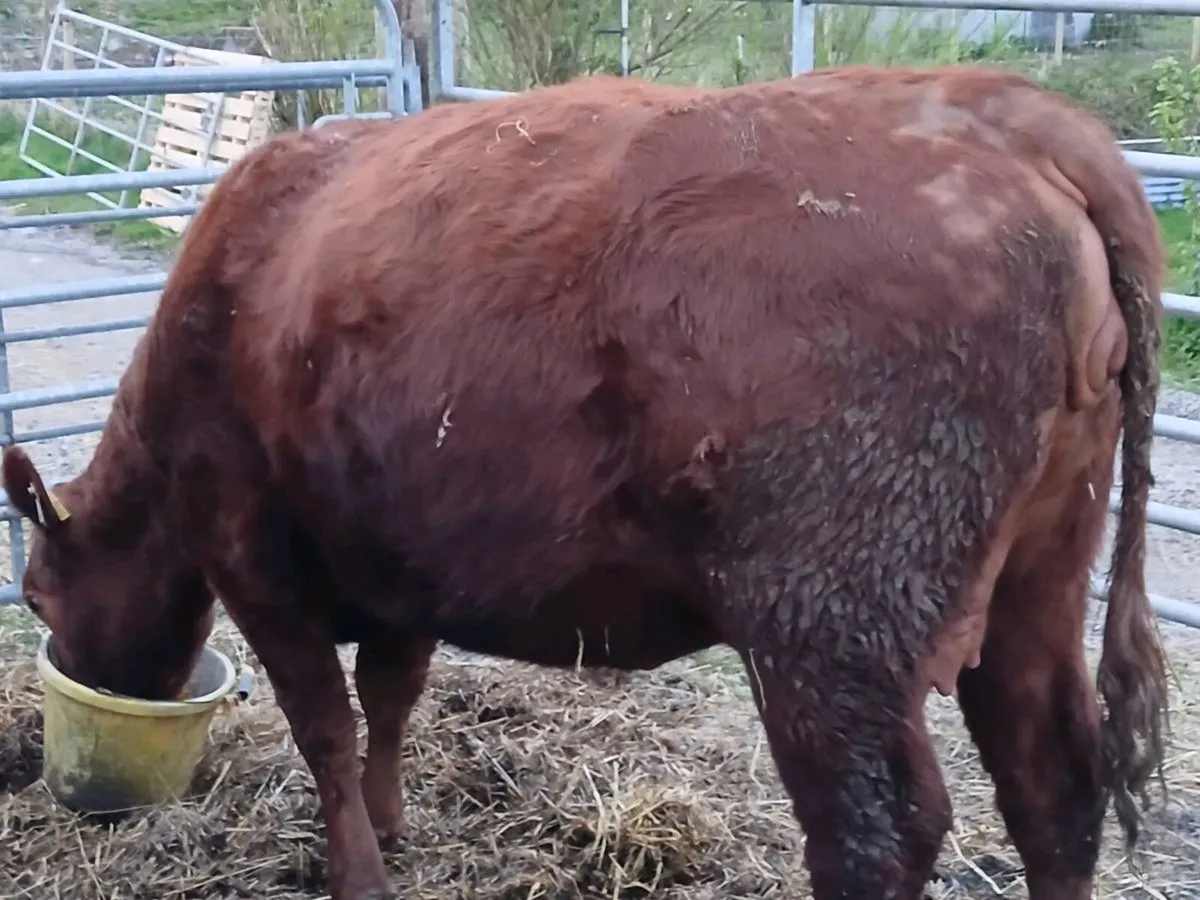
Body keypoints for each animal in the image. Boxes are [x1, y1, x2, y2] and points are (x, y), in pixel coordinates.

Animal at [1, 66, 1170, 900]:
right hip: (1037, 580)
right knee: (1052, 787)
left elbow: (323, 724)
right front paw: (393, 823)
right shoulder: (399, 559)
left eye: (37, 593)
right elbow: (389, 698)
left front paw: (358, 870)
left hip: (830, 626)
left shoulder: (251, 551)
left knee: (879, 834)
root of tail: (1006, 116)